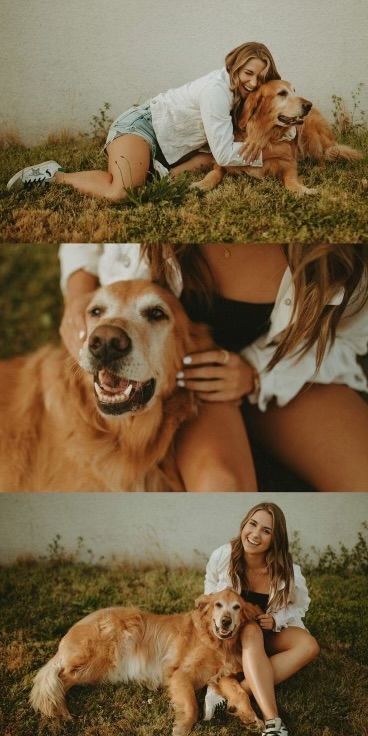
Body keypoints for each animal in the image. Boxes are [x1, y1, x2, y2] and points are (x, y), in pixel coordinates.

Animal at [30, 588, 264, 736]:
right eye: (218, 605)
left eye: (237, 607)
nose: (225, 622)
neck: (217, 641)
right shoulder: (181, 674)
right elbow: (191, 706)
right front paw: (182, 728)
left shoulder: (221, 676)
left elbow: (241, 693)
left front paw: (253, 718)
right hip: (99, 659)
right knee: (60, 679)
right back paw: (61, 711)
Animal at [193, 80, 362, 196]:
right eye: (282, 93)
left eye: (294, 91)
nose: (309, 105)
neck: (265, 135)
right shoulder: (223, 161)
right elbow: (214, 172)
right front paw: (202, 184)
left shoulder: (289, 163)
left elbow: (291, 182)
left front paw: (304, 190)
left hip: (310, 132)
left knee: (323, 158)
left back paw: (317, 168)